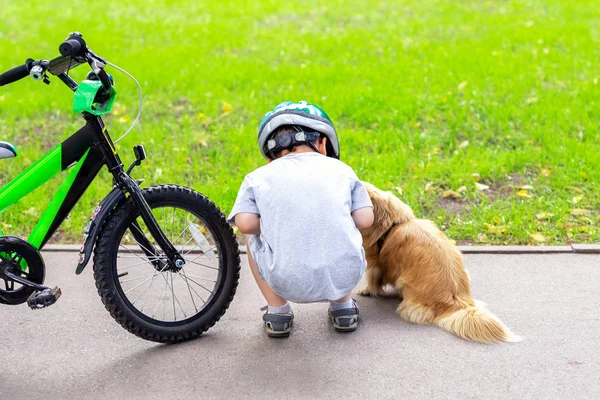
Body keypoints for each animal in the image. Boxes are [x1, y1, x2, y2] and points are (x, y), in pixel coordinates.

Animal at [356, 183, 520, 342]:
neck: (394, 224)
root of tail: (456, 305)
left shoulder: (374, 265)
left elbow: (372, 281)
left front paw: (366, 290)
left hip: (405, 284)